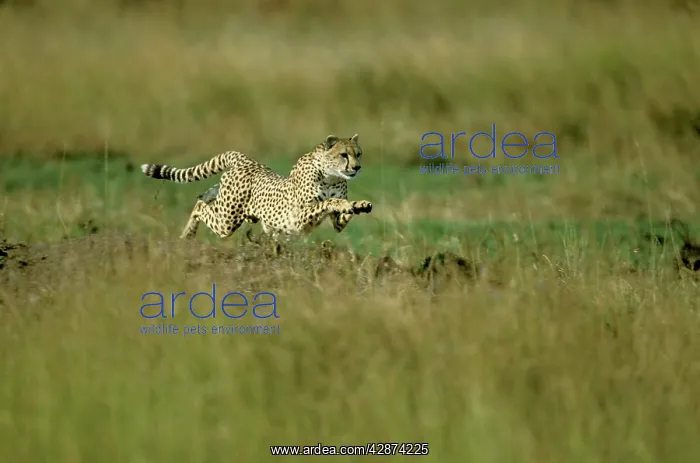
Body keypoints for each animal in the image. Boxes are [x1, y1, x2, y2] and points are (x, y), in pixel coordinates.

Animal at [140, 134, 373, 240]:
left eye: (358, 153)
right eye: (344, 155)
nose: (357, 167)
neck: (331, 176)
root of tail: (245, 159)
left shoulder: (336, 223)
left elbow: (342, 215)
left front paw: (359, 205)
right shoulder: (298, 216)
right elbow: (329, 201)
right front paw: (343, 203)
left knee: (202, 197)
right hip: (227, 221)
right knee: (199, 207)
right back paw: (187, 235)